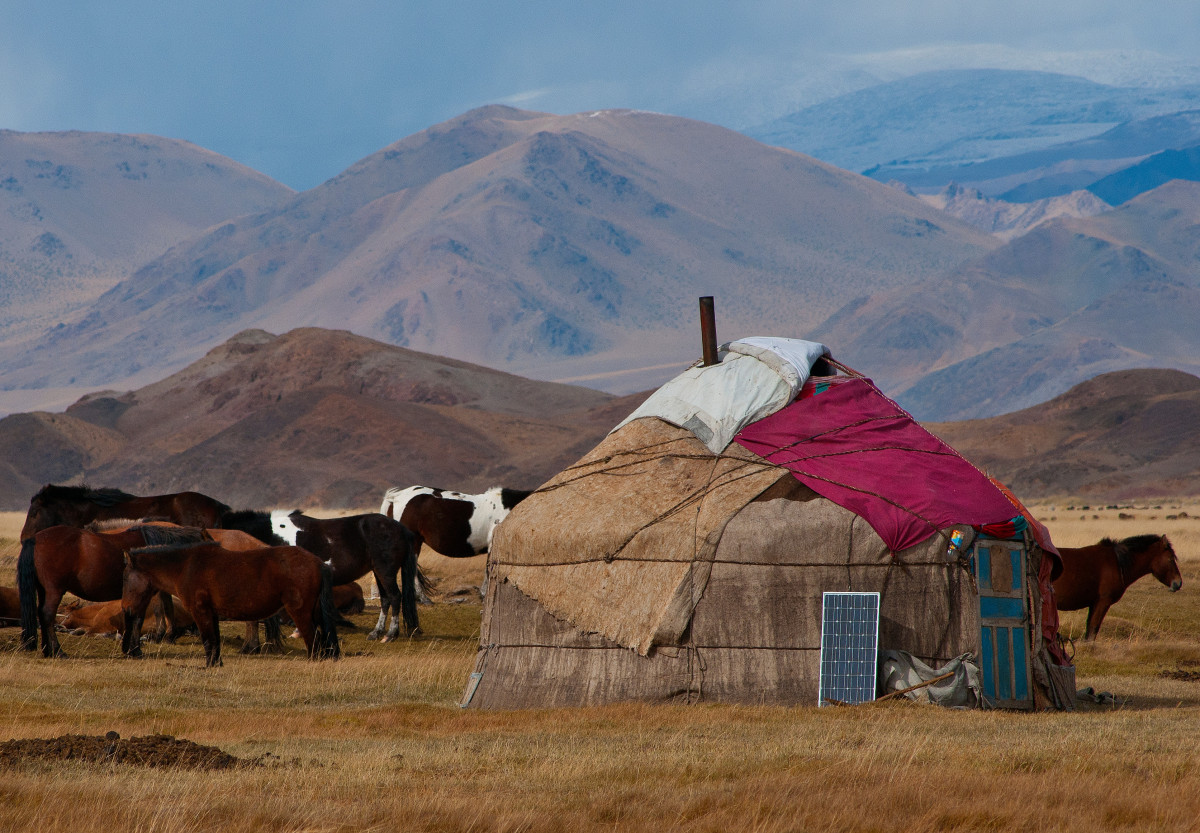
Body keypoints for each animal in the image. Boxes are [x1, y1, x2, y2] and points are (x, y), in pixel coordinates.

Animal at [18, 525, 208, 657]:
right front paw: (135, 650)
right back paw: (58, 651)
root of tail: (36, 538)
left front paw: (130, 648)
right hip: (54, 591)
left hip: (44, 590)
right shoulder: (143, 594)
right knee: (47, 615)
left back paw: (48, 650)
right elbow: (139, 617)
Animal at [121, 542, 340, 672]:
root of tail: (318, 563)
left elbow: (208, 639)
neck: (185, 567)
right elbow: (215, 641)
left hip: (300, 612)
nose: (126, 609)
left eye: (125, 580)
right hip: (315, 612)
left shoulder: (201, 612)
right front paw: (216, 664)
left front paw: (209, 666)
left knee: (313, 640)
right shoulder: (212, 614)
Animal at [1051, 537, 1180, 643]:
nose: (1178, 583)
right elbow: (1093, 628)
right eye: (1170, 559)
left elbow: (1089, 629)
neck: (1117, 563)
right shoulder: (1103, 602)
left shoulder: (1094, 604)